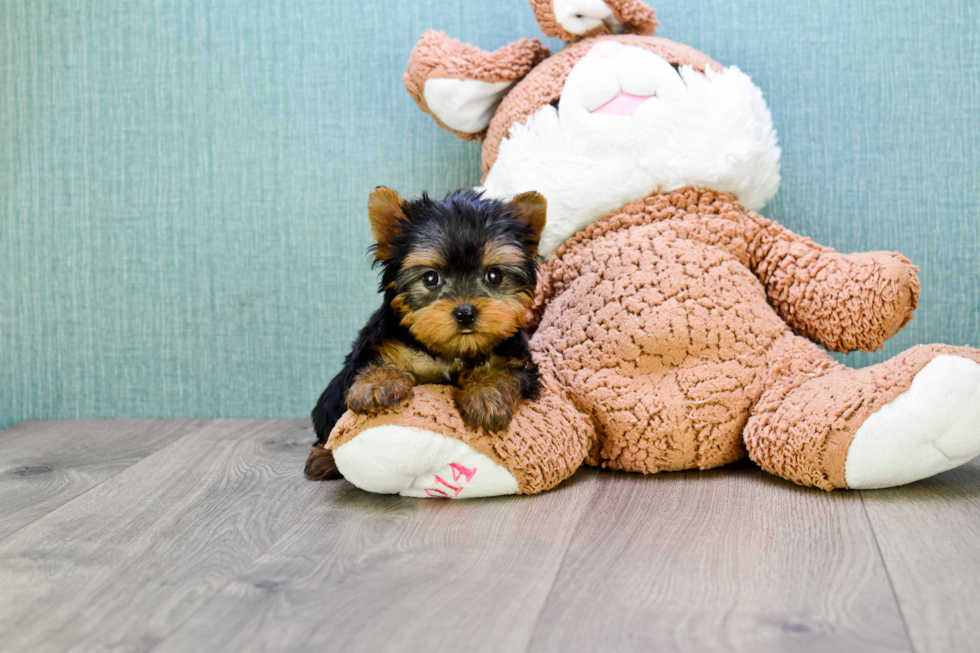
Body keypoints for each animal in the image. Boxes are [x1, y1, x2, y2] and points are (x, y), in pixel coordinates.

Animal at [306, 187, 548, 478]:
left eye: (494, 276)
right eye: (431, 278)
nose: (465, 312)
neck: (451, 352)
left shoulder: (516, 358)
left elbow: (505, 372)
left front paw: (486, 395)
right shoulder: (379, 345)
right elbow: (371, 364)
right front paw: (377, 385)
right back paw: (324, 458)